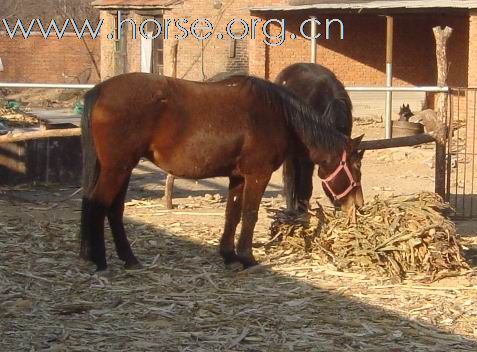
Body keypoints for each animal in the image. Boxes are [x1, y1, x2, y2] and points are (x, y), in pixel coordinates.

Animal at [79, 71, 360, 270]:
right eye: (355, 169)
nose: (357, 206)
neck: (277, 114)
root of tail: (101, 90)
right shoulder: (258, 175)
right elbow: (249, 215)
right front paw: (247, 258)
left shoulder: (237, 176)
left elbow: (232, 215)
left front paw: (229, 255)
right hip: (117, 168)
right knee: (98, 204)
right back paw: (101, 261)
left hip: (121, 169)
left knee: (112, 209)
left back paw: (128, 259)